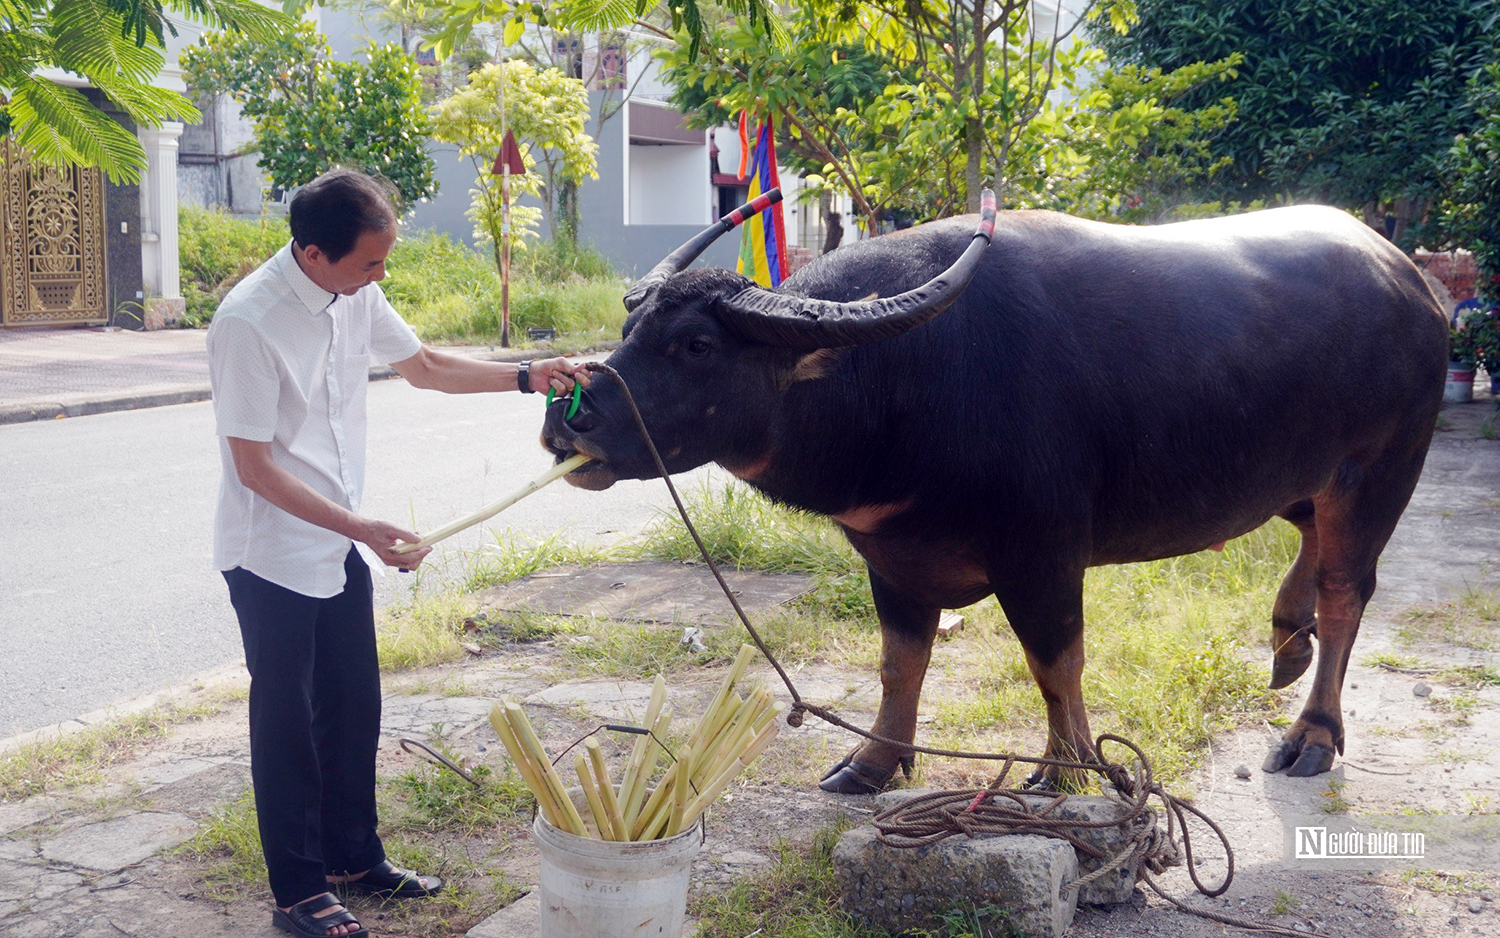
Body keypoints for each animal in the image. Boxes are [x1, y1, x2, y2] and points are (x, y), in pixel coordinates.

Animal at [546, 195, 1446, 792]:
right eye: (627, 332)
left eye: (698, 344)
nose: (568, 415)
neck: (904, 378)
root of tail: (1413, 282)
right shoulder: (891, 560)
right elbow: (899, 664)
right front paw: (874, 762)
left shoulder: (1042, 555)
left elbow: (1055, 662)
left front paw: (1067, 768)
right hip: (1302, 475)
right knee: (1308, 544)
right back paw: (1287, 639)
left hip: (1379, 474)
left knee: (1345, 590)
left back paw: (1313, 733)